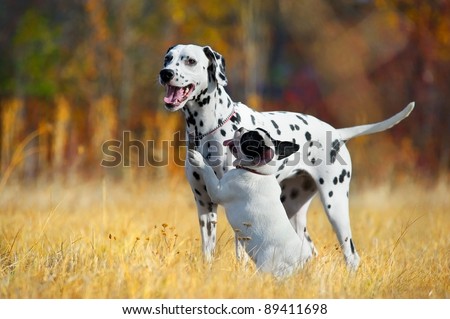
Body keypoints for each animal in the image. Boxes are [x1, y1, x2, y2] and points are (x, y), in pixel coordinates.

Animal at [188, 127, 314, 278]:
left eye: (247, 138)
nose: (241, 128)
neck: (257, 172)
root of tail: (299, 264)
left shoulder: (217, 191)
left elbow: (209, 172)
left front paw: (199, 159)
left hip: (267, 265)